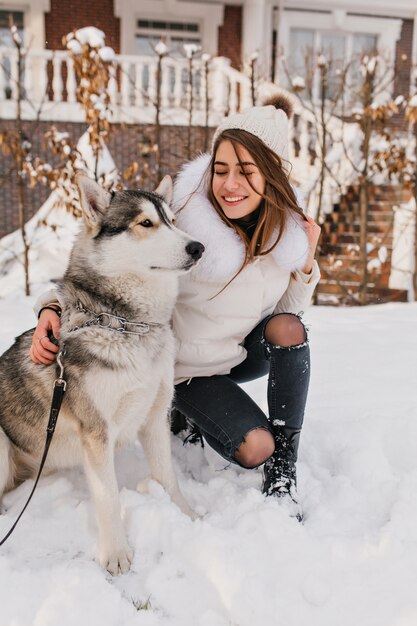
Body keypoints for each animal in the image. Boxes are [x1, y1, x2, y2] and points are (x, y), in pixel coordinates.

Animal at [0, 173, 203, 572]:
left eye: (173, 220)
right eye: (145, 223)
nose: (198, 247)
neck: (126, 324)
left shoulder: (155, 415)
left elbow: (167, 477)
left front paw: (186, 516)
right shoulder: (96, 432)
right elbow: (108, 497)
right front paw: (116, 554)